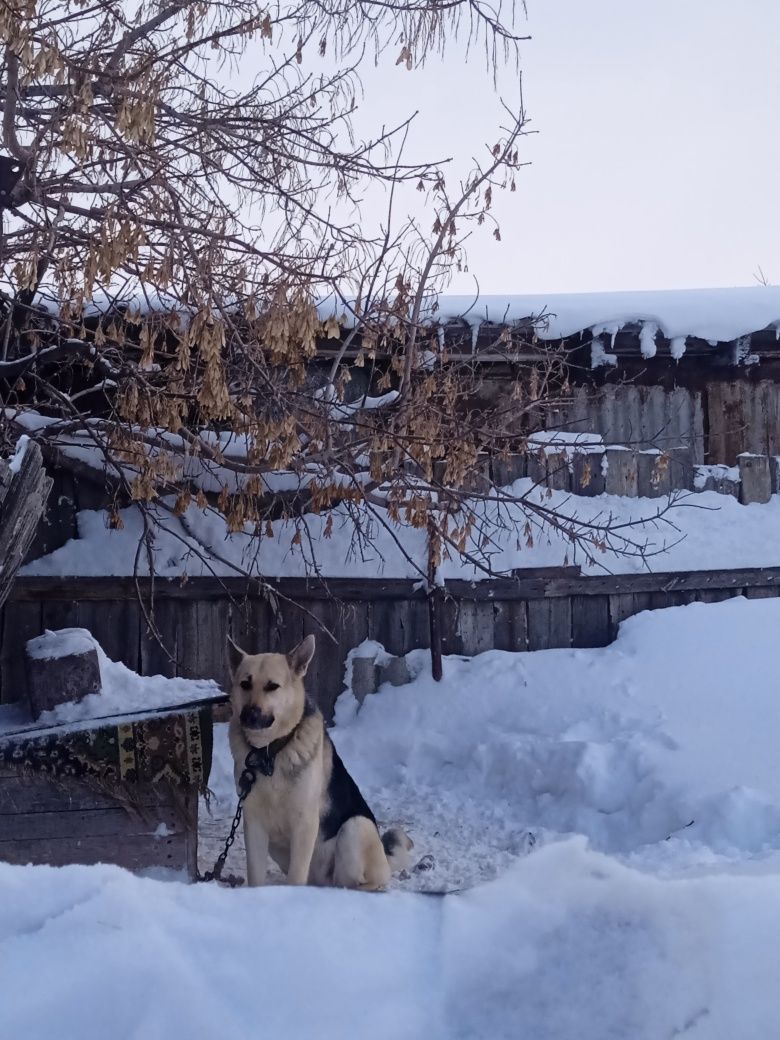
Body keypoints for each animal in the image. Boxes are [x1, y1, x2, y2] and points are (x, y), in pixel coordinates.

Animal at [227, 628, 416, 890]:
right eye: (245, 684)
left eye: (272, 686)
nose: (249, 716)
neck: (271, 752)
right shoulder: (253, 822)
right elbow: (256, 875)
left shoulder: (305, 823)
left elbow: (296, 876)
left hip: (355, 827)